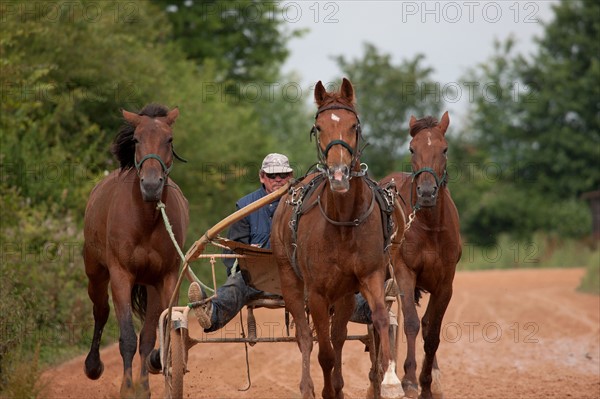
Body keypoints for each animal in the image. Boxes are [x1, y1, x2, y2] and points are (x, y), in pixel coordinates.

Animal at [82, 103, 189, 396]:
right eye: (137, 139)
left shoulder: (165, 278)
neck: (146, 219)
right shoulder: (121, 275)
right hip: (95, 272)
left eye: (169, 139)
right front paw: (127, 389)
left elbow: (156, 333)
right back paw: (93, 366)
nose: (151, 185)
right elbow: (127, 337)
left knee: (148, 334)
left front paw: (148, 377)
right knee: (101, 310)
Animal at [270, 79, 404, 399]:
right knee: (306, 338)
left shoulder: (371, 275)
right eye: (319, 127)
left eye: (354, 125)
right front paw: (326, 390)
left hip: (343, 293)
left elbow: (380, 318)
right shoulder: (317, 293)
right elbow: (324, 352)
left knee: (339, 336)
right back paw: (308, 387)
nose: (339, 174)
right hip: (290, 279)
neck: (343, 220)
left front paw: (390, 380)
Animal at [382, 112, 462, 399]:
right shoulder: (404, 272)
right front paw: (408, 380)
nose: (427, 193)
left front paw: (428, 382)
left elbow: (433, 332)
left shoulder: (446, 282)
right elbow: (411, 324)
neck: (429, 225)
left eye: (445, 149)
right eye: (411, 148)